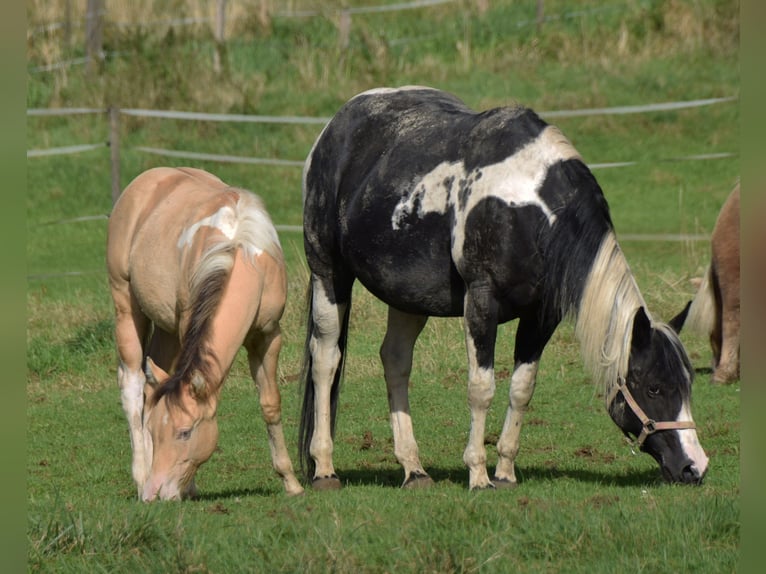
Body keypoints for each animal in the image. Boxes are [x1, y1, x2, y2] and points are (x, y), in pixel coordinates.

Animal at [107, 168, 304, 504]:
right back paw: (140, 476)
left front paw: (291, 482)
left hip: (166, 330)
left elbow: (270, 404)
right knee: (132, 387)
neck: (241, 252)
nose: (157, 492)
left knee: (148, 385)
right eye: (156, 432)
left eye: (185, 432)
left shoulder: (267, 337)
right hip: (126, 305)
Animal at [298, 88, 708, 492]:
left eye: (688, 383)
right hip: (329, 275)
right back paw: (324, 469)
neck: (525, 207)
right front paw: (478, 475)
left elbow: (522, 388)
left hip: (407, 297)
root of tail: (335, 126)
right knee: (326, 360)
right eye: (653, 387)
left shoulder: (541, 315)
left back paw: (414, 470)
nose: (694, 467)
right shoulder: (481, 303)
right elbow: (481, 388)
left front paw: (506, 472)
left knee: (395, 361)